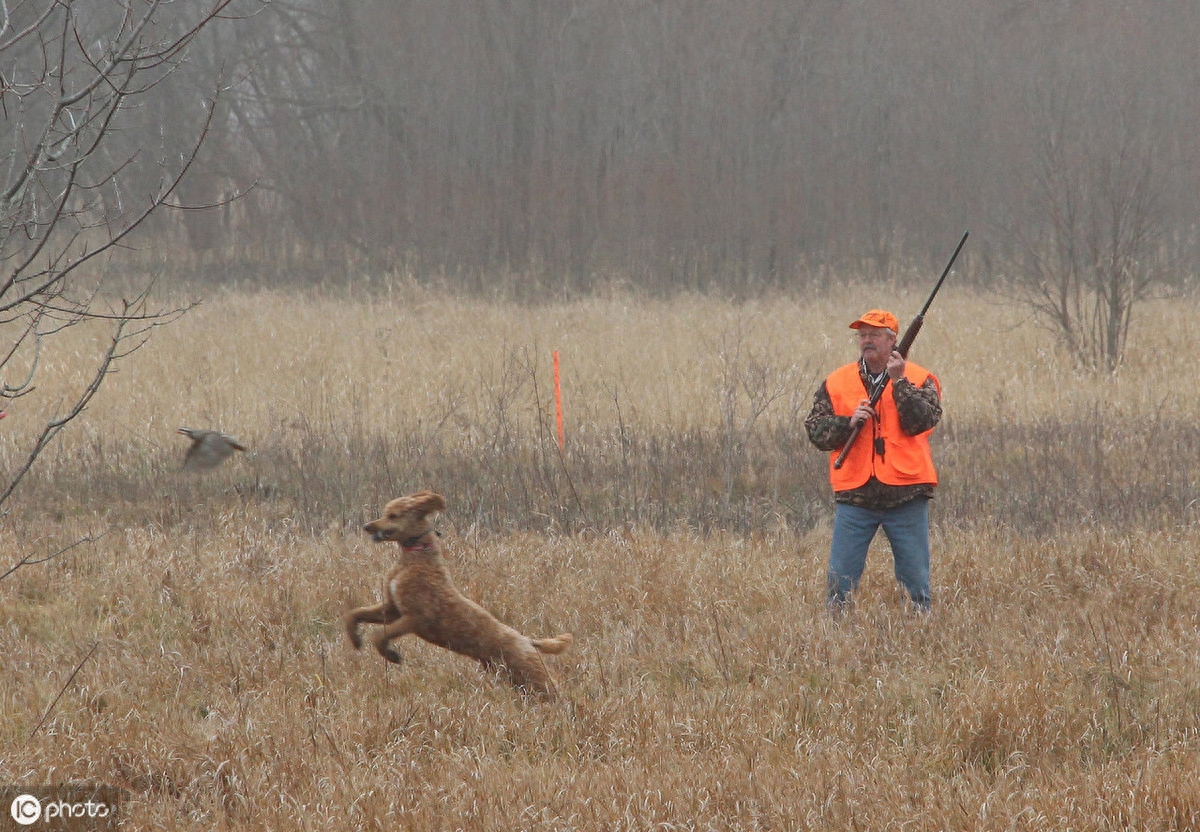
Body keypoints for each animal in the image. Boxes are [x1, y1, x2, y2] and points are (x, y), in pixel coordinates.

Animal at [345, 489, 573, 696]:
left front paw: (391, 655)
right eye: (385, 513)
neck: (417, 559)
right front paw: (355, 639)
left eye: (393, 515)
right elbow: (353, 614)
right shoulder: (392, 609)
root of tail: (528, 641)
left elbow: (379, 636)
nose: (367, 526)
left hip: (530, 674)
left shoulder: (416, 618)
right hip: (513, 676)